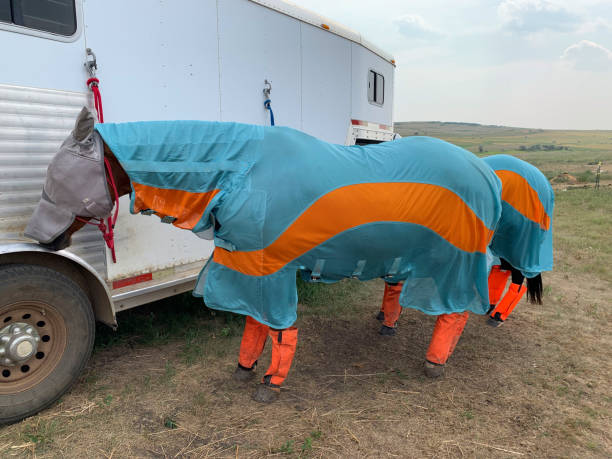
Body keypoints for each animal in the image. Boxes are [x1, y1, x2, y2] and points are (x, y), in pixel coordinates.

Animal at [25, 108, 502, 402]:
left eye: (57, 173)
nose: (35, 237)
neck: (240, 171)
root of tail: (486, 172)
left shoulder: (271, 269)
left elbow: (279, 327)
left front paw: (272, 381)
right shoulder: (248, 265)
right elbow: (254, 324)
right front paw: (245, 367)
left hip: (455, 260)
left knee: (455, 311)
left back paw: (435, 361)